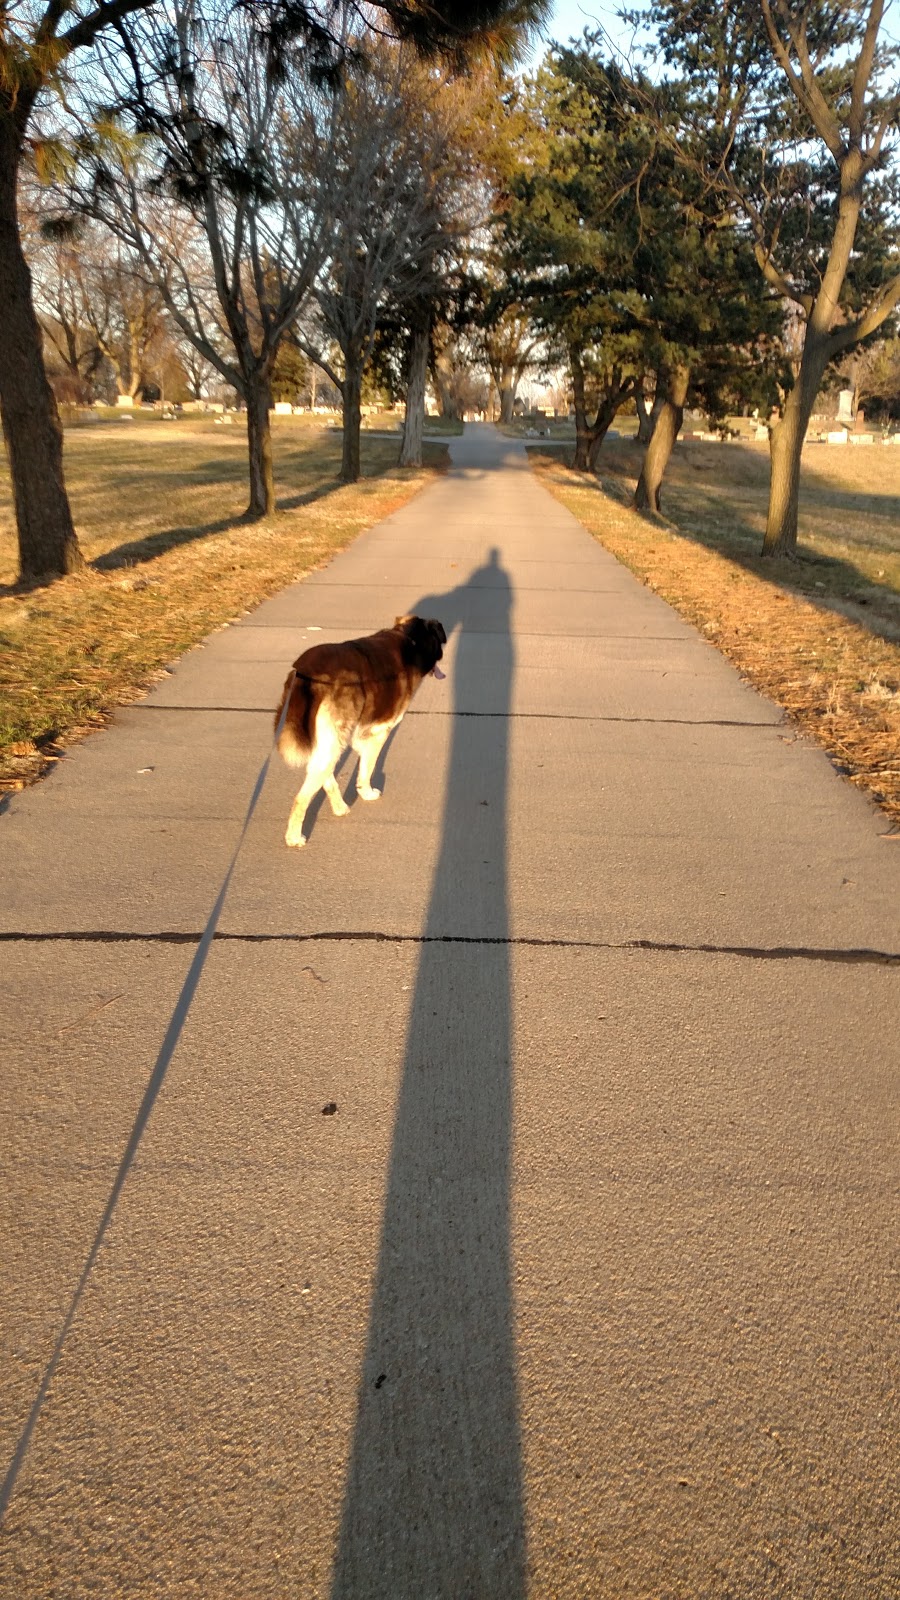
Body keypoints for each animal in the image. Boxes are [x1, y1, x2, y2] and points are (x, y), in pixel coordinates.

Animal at [272, 608, 441, 844]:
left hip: (329, 742)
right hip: (334, 738)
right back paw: (294, 837)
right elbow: (367, 767)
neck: (410, 638)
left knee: (323, 773)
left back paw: (339, 807)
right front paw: (366, 792)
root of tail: (305, 673)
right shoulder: (379, 732)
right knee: (302, 796)